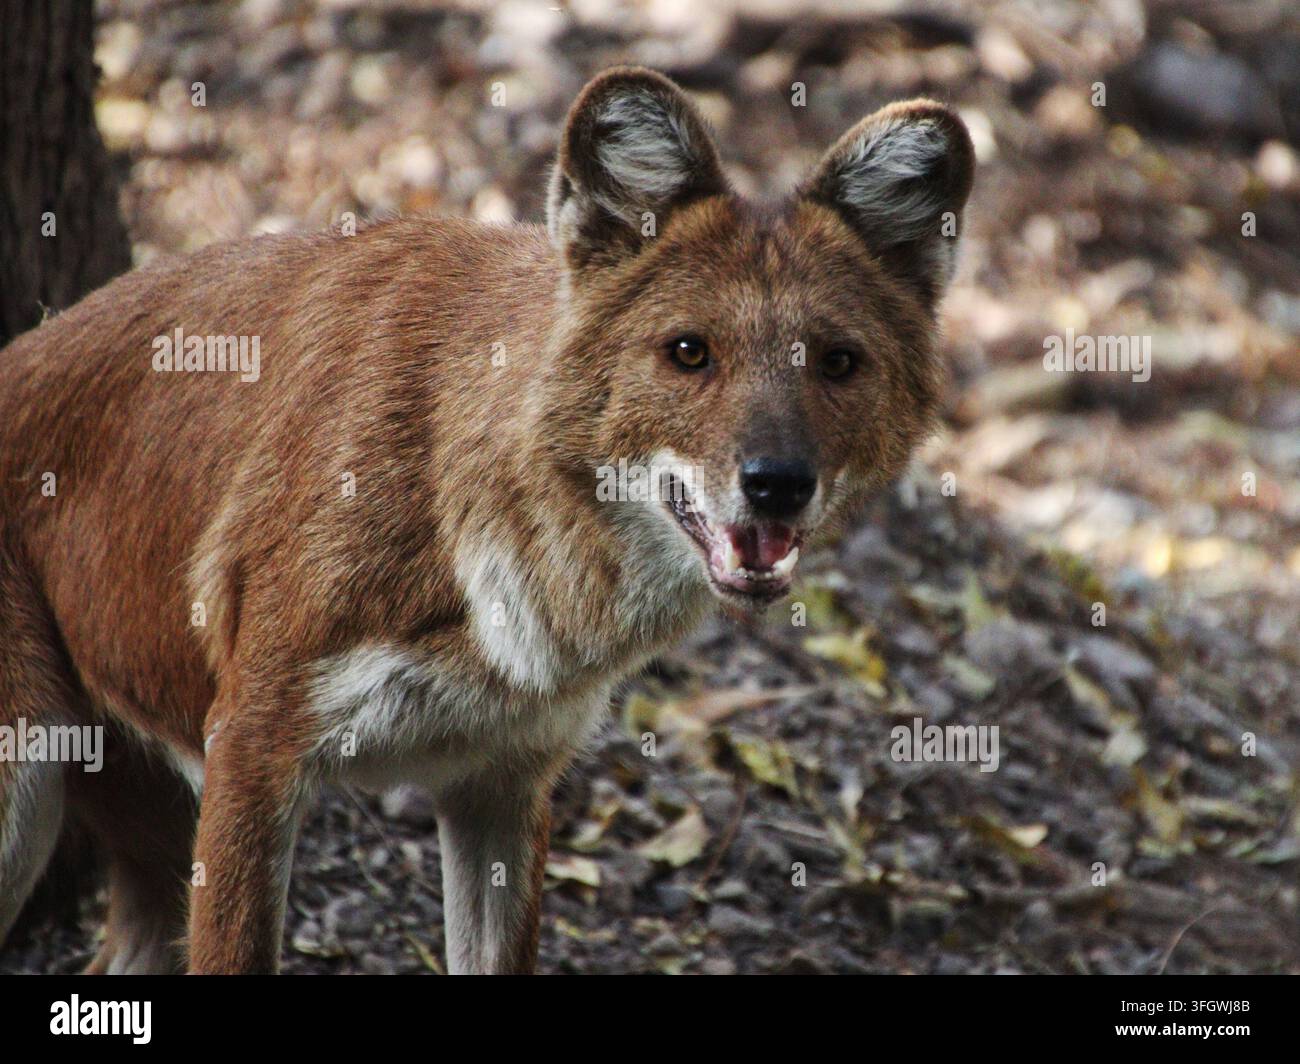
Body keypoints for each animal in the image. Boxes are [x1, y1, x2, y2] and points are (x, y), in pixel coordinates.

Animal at [0, 67, 973, 974]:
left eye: (839, 363)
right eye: (689, 352)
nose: (778, 485)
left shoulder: (502, 784)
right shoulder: (251, 745)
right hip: (31, 782)